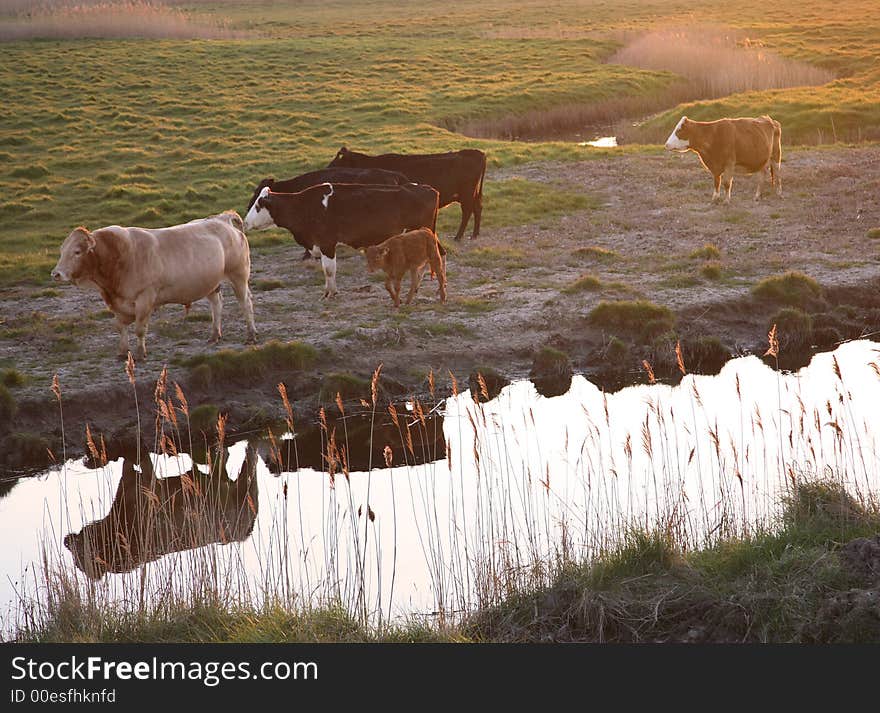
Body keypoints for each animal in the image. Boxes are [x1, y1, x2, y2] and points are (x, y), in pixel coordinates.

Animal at [51, 210, 256, 356]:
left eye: (77, 251)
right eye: (62, 250)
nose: (56, 274)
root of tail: (222, 219)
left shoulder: (145, 298)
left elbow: (140, 329)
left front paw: (141, 353)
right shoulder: (118, 304)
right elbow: (121, 328)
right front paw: (122, 352)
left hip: (238, 276)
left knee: (245, 303)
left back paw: (251, 335)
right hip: (211, 283)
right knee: (217, 304)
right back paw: (214, 335)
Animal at [64, 440, 260, 580]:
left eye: (78, 559)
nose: (68, 539)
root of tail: (245, 533)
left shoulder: (145, 490)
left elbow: (144, 465)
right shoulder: (128, 484)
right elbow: (128, 465)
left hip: (241, 495)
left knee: (248, 468)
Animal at [242, 184, 438, 298]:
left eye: (258, 205)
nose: (245, 223)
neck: (304, 207)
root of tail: (429, 189)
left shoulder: (327, 244)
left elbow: (329, 270)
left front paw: (330, 293)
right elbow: (326, 270)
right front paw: (328, 291)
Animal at [328, 147, 484, 242]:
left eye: (338, 161)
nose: (327, 168)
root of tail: (475, 152)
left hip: (466, 193)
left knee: (468, 210)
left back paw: (458, 236)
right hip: (472, 193)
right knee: (477, 208)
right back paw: (475, 234)